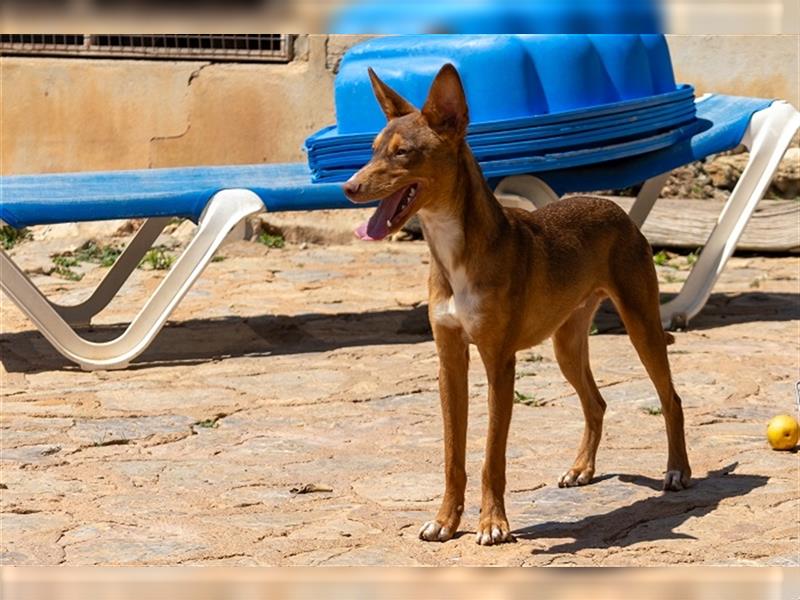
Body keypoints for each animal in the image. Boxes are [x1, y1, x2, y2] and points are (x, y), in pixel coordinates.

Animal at [342, 63, 688, 548]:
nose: (348, 187)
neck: (454, 253)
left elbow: (492, 456)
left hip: (641, 326)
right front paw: (446, 520)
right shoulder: (449, 362)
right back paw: (581, 468)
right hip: (567, 344)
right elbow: (453, 455)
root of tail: (615, 208)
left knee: (671, 398)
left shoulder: (499, 364)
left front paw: (493, 524)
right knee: (596, 403)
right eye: (372, 150)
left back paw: (677, 472)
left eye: (403, 152)